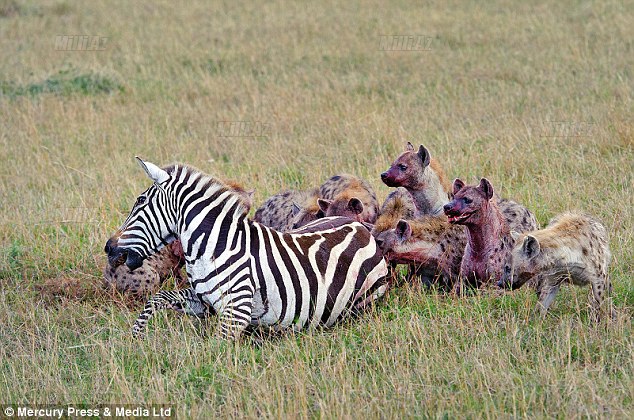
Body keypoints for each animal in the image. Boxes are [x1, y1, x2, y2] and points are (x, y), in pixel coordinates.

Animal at [106, 159, 388, 340]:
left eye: (140, 201)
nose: (109, 248)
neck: (215, 247)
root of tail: (361, 227)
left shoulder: (236, 312)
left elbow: (212, 350)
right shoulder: (203, 301)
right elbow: (158, 297)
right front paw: (136, 338)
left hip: (363, 301)